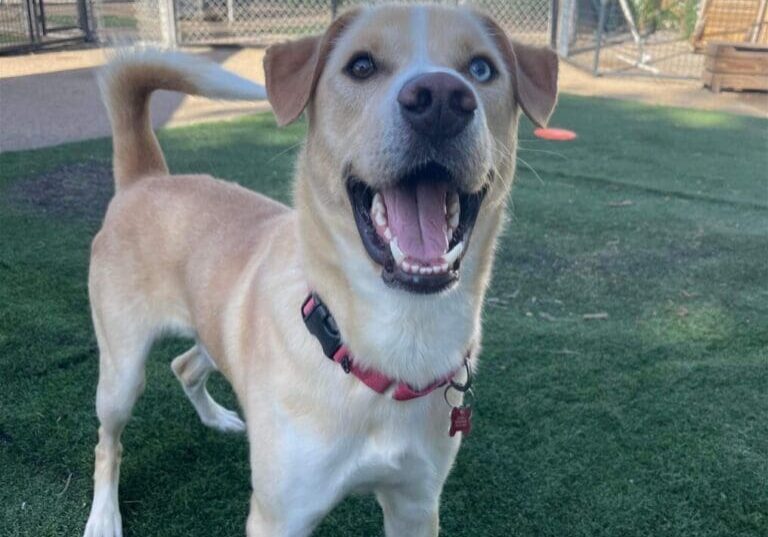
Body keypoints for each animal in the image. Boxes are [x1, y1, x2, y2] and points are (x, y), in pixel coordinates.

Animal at [84, 5, 560, 536]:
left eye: (480, 69)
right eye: (361, 66)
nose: (441, 99)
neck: (395, 341)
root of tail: (146, 178)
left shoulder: (416, 505)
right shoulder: (279, 516)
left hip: (212, 326)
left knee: (184, 365)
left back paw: (219, 418)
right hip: (121, 373)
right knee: (107, 441)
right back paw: (103, 515)